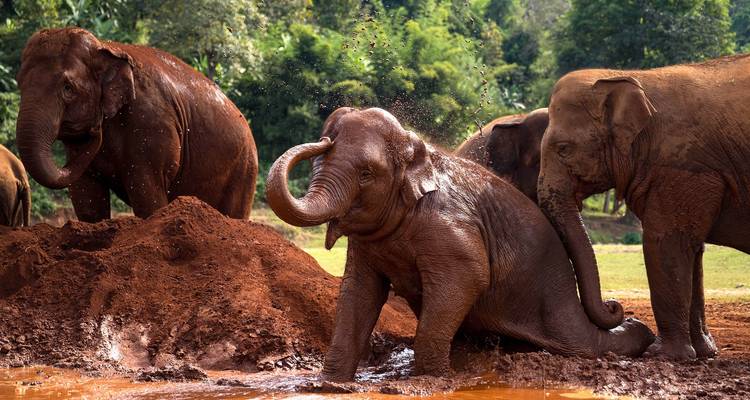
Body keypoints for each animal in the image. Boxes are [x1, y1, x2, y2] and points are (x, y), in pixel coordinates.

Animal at [15, 28, 257, 222]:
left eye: (68, 88)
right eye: (19, 83)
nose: (96, 128)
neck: (105, 47)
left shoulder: (151, 124)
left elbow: (147, 196)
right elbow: (87, 199)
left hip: (243, 170)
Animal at [266, 107, 655, 381]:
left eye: (366, 174)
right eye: (318, 160)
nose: (323, 137)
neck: (416, 153)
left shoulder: (448, 225)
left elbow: (468, 276)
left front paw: (431, 379)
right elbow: (359, 291)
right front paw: (328, 384)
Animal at [537, 56, 750, 361]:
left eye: (563, 148)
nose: (615, 305)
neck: (627, 76)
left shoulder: (681, 168)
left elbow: (664, 242)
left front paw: (662, 355)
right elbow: (692, 249)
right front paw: (703, 353)